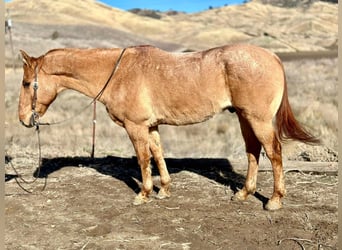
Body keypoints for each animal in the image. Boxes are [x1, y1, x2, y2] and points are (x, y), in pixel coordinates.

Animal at [18, 44, 318, 210]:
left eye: (26, 83)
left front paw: (144, 194)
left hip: (258, 119)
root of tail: (273, 57)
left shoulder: (135, 127)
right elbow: (158, 154)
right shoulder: (150, 127)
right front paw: (164, 190)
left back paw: (275, 200)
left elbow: (142, 159)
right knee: (253, 152)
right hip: (245, 118)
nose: (23, 119)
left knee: (274, 152)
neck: (117, 72)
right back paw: (244, 193)